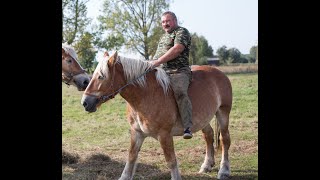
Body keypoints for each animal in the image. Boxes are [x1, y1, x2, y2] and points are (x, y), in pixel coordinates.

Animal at [81, 51, 231, 179]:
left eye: (101, 76)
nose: (85, 102)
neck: (146, 95)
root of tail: (220, 73)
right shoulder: (136, 133)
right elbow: (131, 156)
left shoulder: (165, 135)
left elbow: (171, 160)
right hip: (203, 120)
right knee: (208, 135)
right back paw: (207, 165)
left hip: (223, 112)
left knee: (224, 140)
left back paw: (224, 170)